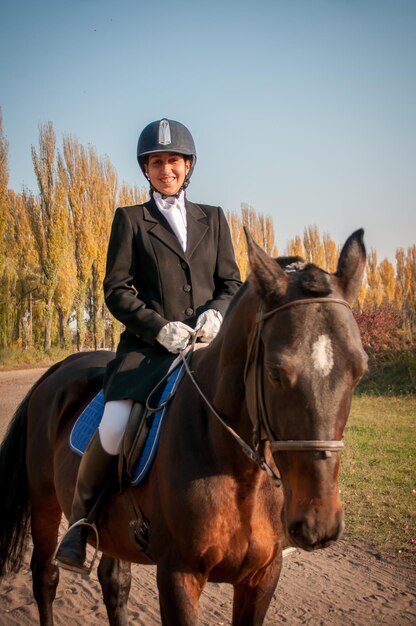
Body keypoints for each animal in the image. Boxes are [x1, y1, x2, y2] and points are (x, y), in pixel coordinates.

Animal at [0, 229, 368, 624]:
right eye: (275, 372)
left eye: (360, 370)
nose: (318, 524)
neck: (241, 473)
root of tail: (60, 368)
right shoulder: (179, 574)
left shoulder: (263, 577)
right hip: (44, 502)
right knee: (45, 576)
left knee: (114, 582)